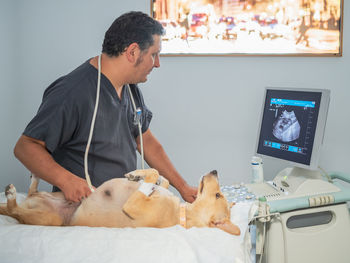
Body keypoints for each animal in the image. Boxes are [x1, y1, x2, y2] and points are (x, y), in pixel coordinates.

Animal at [0, 170, 241, 236]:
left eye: (218, 195)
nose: (215, 170)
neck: (182, 212)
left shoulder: (134, 206)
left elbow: (154, 177)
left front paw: (142, 178)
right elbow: (161, 176)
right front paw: (136, 174)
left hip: (47, 218)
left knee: (15, 211)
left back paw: (11, 195)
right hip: (56, 194)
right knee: (27, 195)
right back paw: (33, 178)